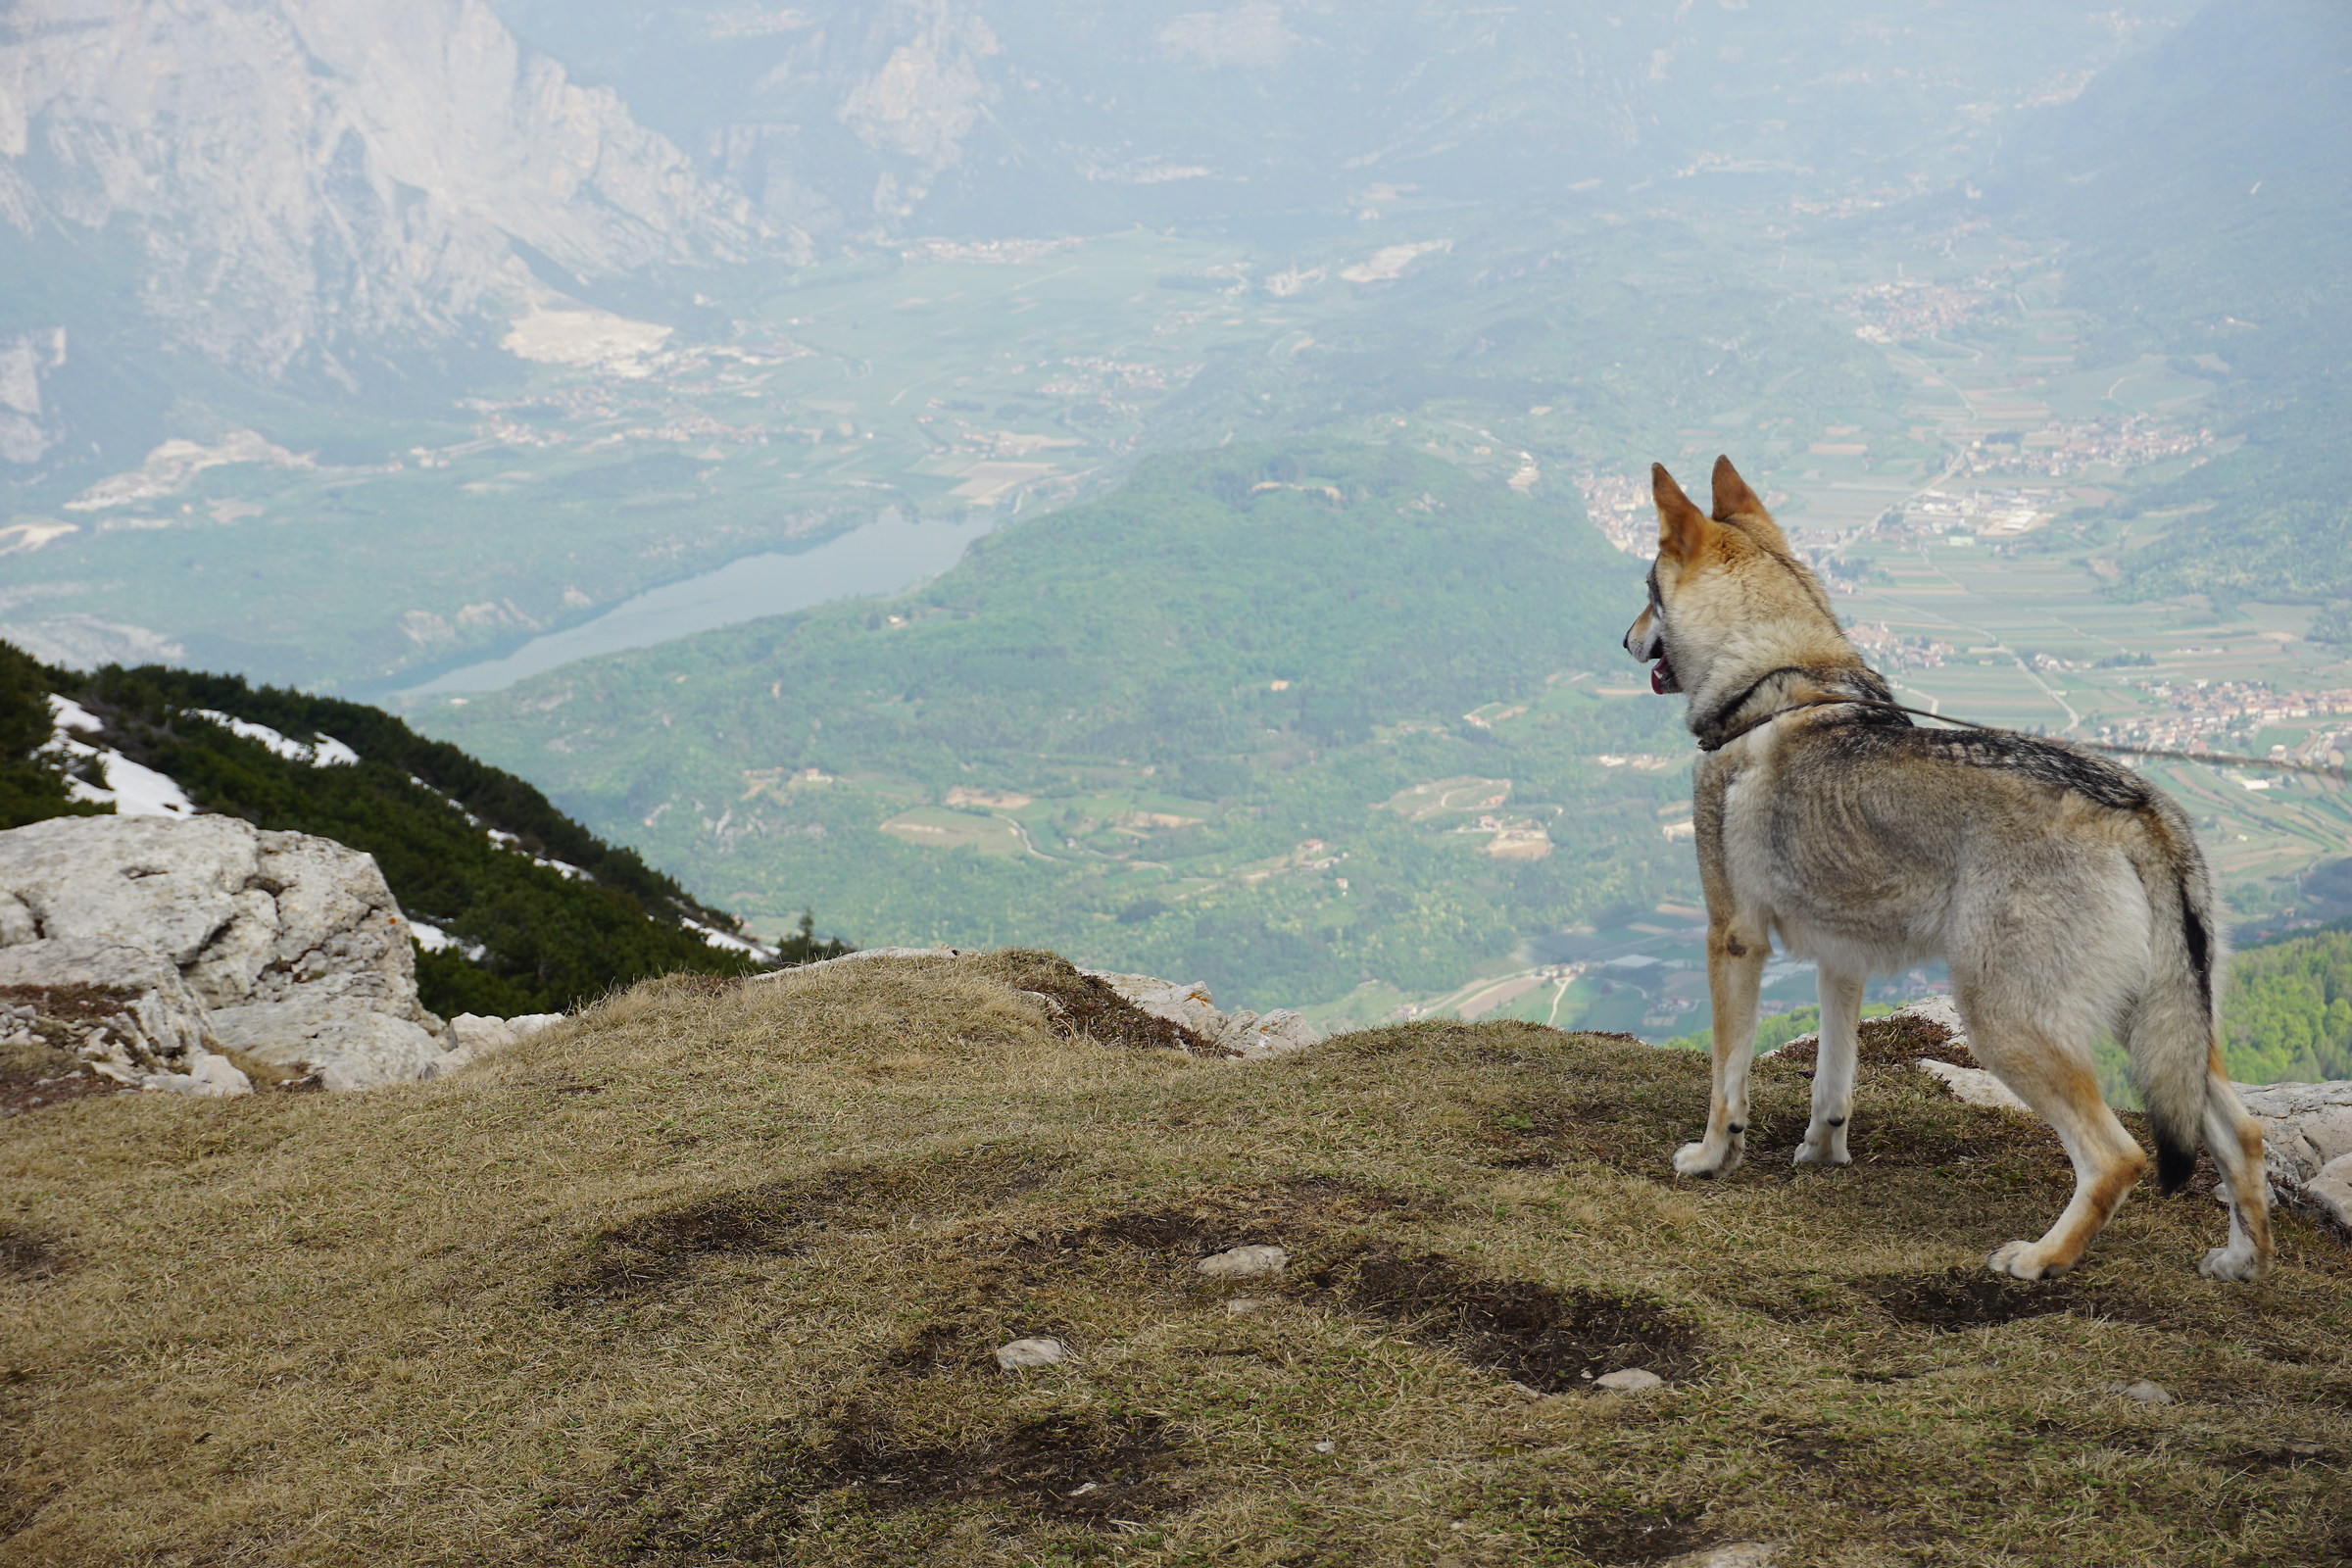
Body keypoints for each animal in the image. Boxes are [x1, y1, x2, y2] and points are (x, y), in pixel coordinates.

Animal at [1622, 456, 2270, 1282]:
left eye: (1647, 593)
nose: (1624, 640)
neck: (1775, 684)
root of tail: (2139, 811)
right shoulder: (1842, 959)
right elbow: (1833, 1079)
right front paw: (1822, 1153)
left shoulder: (1732, 940)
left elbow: (1725, 1082)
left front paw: (1711, 1160)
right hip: (2162, 1032)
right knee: (2242, 1135)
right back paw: (2240, 1263)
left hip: (2003, 1024)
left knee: (2118, 1156)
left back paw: (2039, 1259)